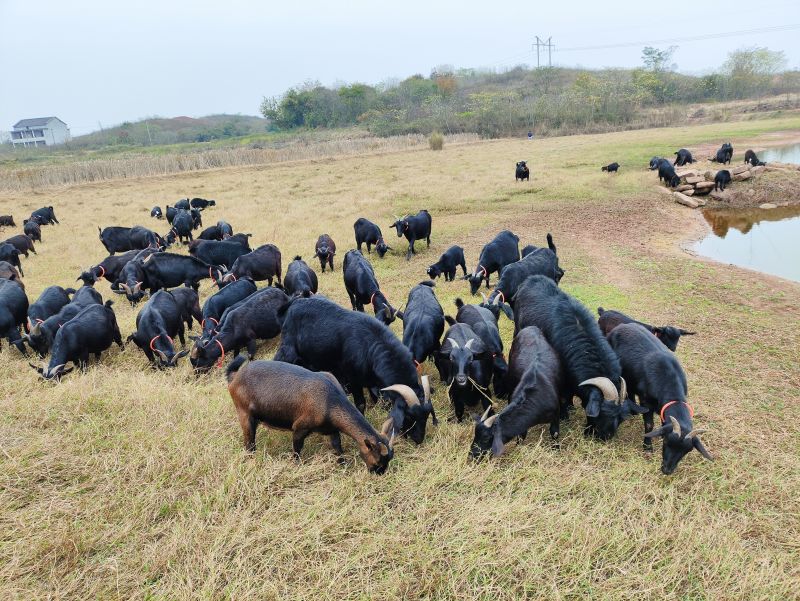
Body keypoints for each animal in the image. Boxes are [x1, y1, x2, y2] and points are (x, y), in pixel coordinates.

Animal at [225, 356, 394, 474]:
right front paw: (295, 466)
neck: (329, 400)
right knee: (249, 444)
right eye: (378, 462)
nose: (378, 473)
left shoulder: (332, 429)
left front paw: (343, 464)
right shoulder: (300, 427)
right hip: (245, 414)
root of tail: (235, 377)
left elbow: (337, 446)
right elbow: (297, 449)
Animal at [276, 296, 438, 440]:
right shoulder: (353, 380)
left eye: (427, 414)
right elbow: (360, 404)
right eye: (410, 416)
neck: (370, 345)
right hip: (287, 351)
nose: (418, 439)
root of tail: (294, 303)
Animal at [472, 324, 564, 460]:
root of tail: (530, 327)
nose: (471, 456)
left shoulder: (556, 415)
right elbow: (521, 435)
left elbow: (555, 433)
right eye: (475, 435)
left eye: (485, 438)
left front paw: (556, 449)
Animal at [512, 274, 648, 438]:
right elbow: (563, 398)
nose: (605, 437)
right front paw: (564, 415)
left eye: (620, 418)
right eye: (604, 411)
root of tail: (531, 278)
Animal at [608, 324, 716, 474]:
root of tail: (622, 326)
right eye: (666, 442)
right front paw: (648, 447)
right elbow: (649, 425)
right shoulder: (646, 402)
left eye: (687, 451)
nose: (667, 470)